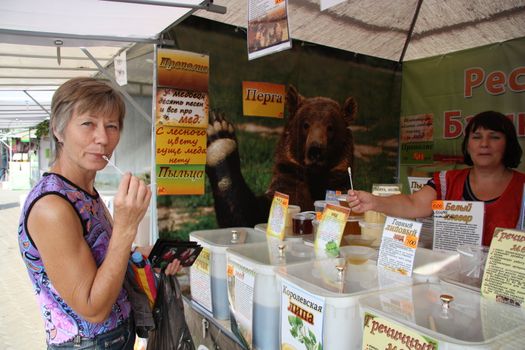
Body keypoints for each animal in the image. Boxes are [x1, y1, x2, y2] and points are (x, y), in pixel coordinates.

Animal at [205, 85, 356, 227]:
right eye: (305, 125)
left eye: (330, 127)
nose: (315, 151)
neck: (314, 178)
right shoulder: (289, 182)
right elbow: (249, 215)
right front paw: (220, 135)